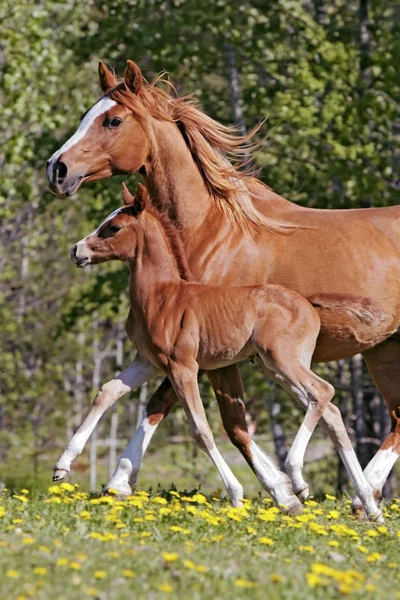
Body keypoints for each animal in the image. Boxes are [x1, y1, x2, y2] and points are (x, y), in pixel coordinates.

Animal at [62, 185, 354, 512]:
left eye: (113, 227)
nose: (76, 250)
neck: (162, 297)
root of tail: (309, 306)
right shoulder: (147, 362)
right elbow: (106, 392)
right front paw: (62, 466)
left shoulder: (183, 367)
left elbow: (201, 430)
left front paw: (236, 493)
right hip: (278, 367)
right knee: (329, 409)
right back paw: (365, 504)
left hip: (282, 361)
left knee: (323, 392)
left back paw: (297, 478)